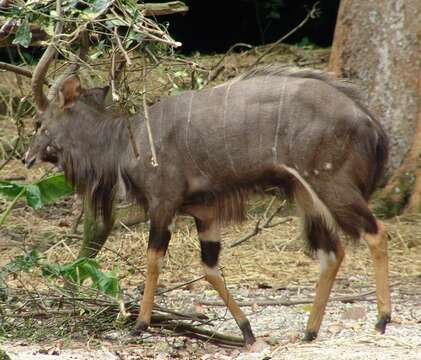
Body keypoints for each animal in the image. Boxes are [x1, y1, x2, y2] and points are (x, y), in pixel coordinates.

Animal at [24, 54, 388, 344]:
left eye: (40, 122)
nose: (27, 158)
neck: (126, 141)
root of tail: (371, 123)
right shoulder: (205, 212)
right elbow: (210, 268)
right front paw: (246, 331)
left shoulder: (163, 203)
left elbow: (154, 259)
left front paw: (140, 325)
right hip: (306, 196)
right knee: (332, 251)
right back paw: (310, 332)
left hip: (330, 184)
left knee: (375, 231)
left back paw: (381, 321)